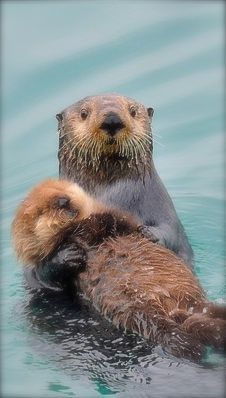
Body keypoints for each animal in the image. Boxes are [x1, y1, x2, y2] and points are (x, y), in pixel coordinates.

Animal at [12, 179, 226, 362]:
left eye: (65, 190)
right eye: (42, 210)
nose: (64, 201)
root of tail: (175, 310)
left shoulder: (108, 220)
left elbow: (118, 221)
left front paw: (147, 232)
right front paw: (68, 254)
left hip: (192, 303)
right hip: (142, 314)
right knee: (175, 333)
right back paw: (190, 346)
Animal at [26, 95, 192, 290]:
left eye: (133, 111)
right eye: (84, 113)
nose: (112, 120)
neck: (108, 197)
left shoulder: (160, 205)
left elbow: (172, 231)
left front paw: (148, 233)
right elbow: (37, 269)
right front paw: (66, 255)